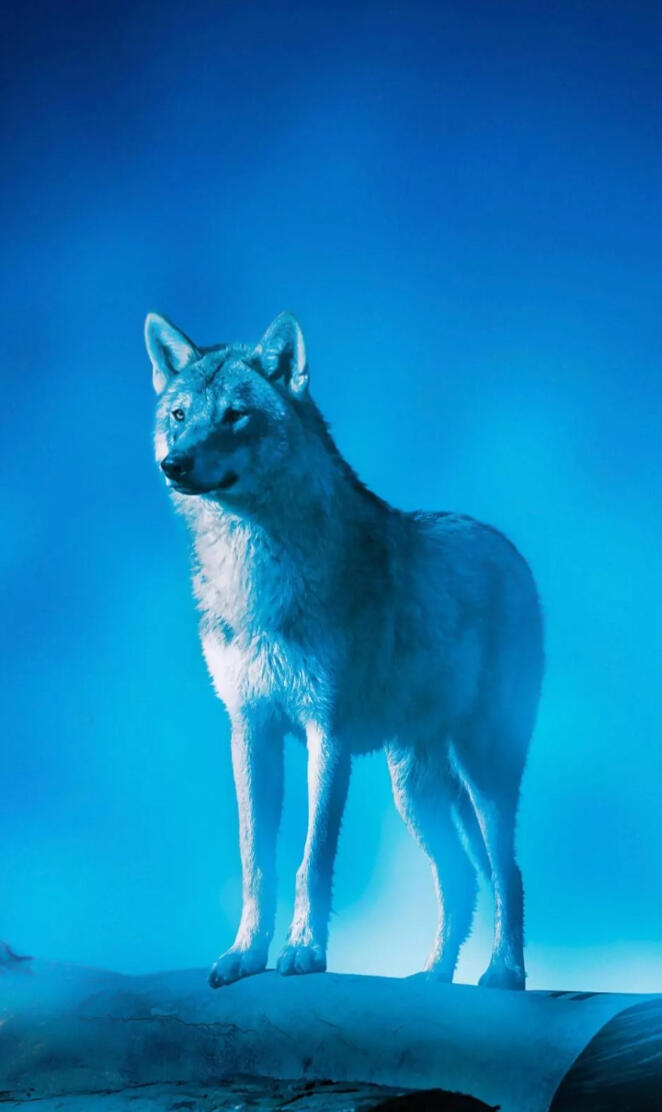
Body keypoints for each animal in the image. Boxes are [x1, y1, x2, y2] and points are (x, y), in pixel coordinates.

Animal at [146, 310, 544, 991]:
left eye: (234, 416)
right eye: (180, 414)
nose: (176, 463)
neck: (254, 573)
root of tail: (508, 549)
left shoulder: (323, 733)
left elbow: (311, 859)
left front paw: (304, 952)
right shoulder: (249, 730)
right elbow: (256, 861)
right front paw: (244, 954)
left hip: (481, 770)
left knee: (508, 870)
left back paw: (503, 974)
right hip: (415, 787)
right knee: (462, 876)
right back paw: (432, 977)